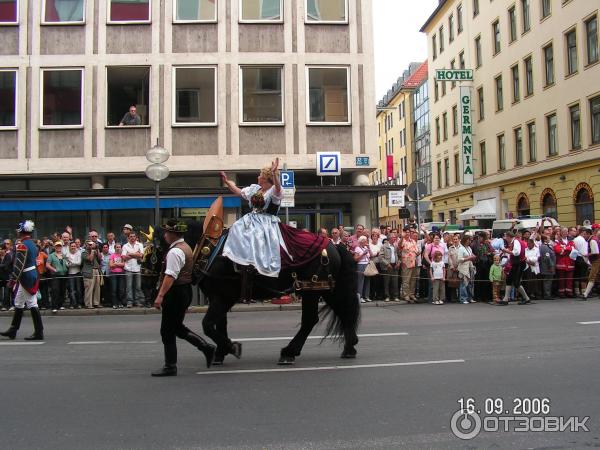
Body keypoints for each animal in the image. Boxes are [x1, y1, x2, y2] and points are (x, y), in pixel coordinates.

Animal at [143, 221, 358, 366]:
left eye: (151, 249)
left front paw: (230, 347)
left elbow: (208, 325)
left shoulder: (222, 298)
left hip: (311, 290)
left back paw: (289, 352)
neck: (211, 251)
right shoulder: (219, 297)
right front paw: (221, 352)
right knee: (344, 312)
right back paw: (349, 347)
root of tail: (333, 244)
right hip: (325, 290)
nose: (146, 281)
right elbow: (219, 324)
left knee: (310, 320)